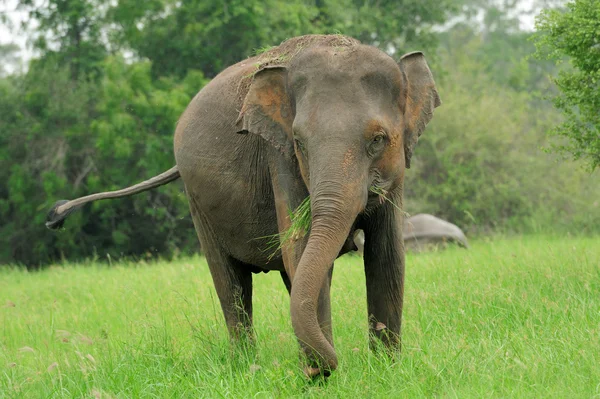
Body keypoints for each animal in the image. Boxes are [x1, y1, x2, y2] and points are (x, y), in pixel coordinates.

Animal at [45, 34, 440, 378]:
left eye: (378, 140)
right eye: (299, 142)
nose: (327, 366)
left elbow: (387, 256)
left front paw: (385, 371)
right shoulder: (279, 157)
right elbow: (300, 247)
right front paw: (322, 377)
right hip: (197, 202)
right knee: (231, 282)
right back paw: (247, 367)